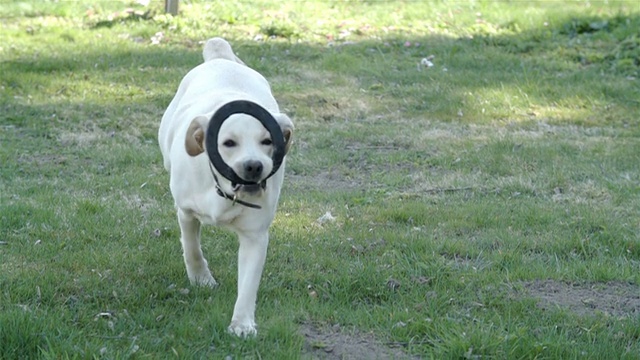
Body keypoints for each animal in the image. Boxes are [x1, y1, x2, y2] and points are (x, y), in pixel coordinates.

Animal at [159, 38, 294, 336]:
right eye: (229, 143)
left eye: (267, 141)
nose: (254, 166)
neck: (224, 192)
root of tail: (220, 58)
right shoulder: (185, 211)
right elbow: (192, 248)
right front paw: (201, 278)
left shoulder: (255, 234)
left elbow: (248, 283)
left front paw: (242, 323)